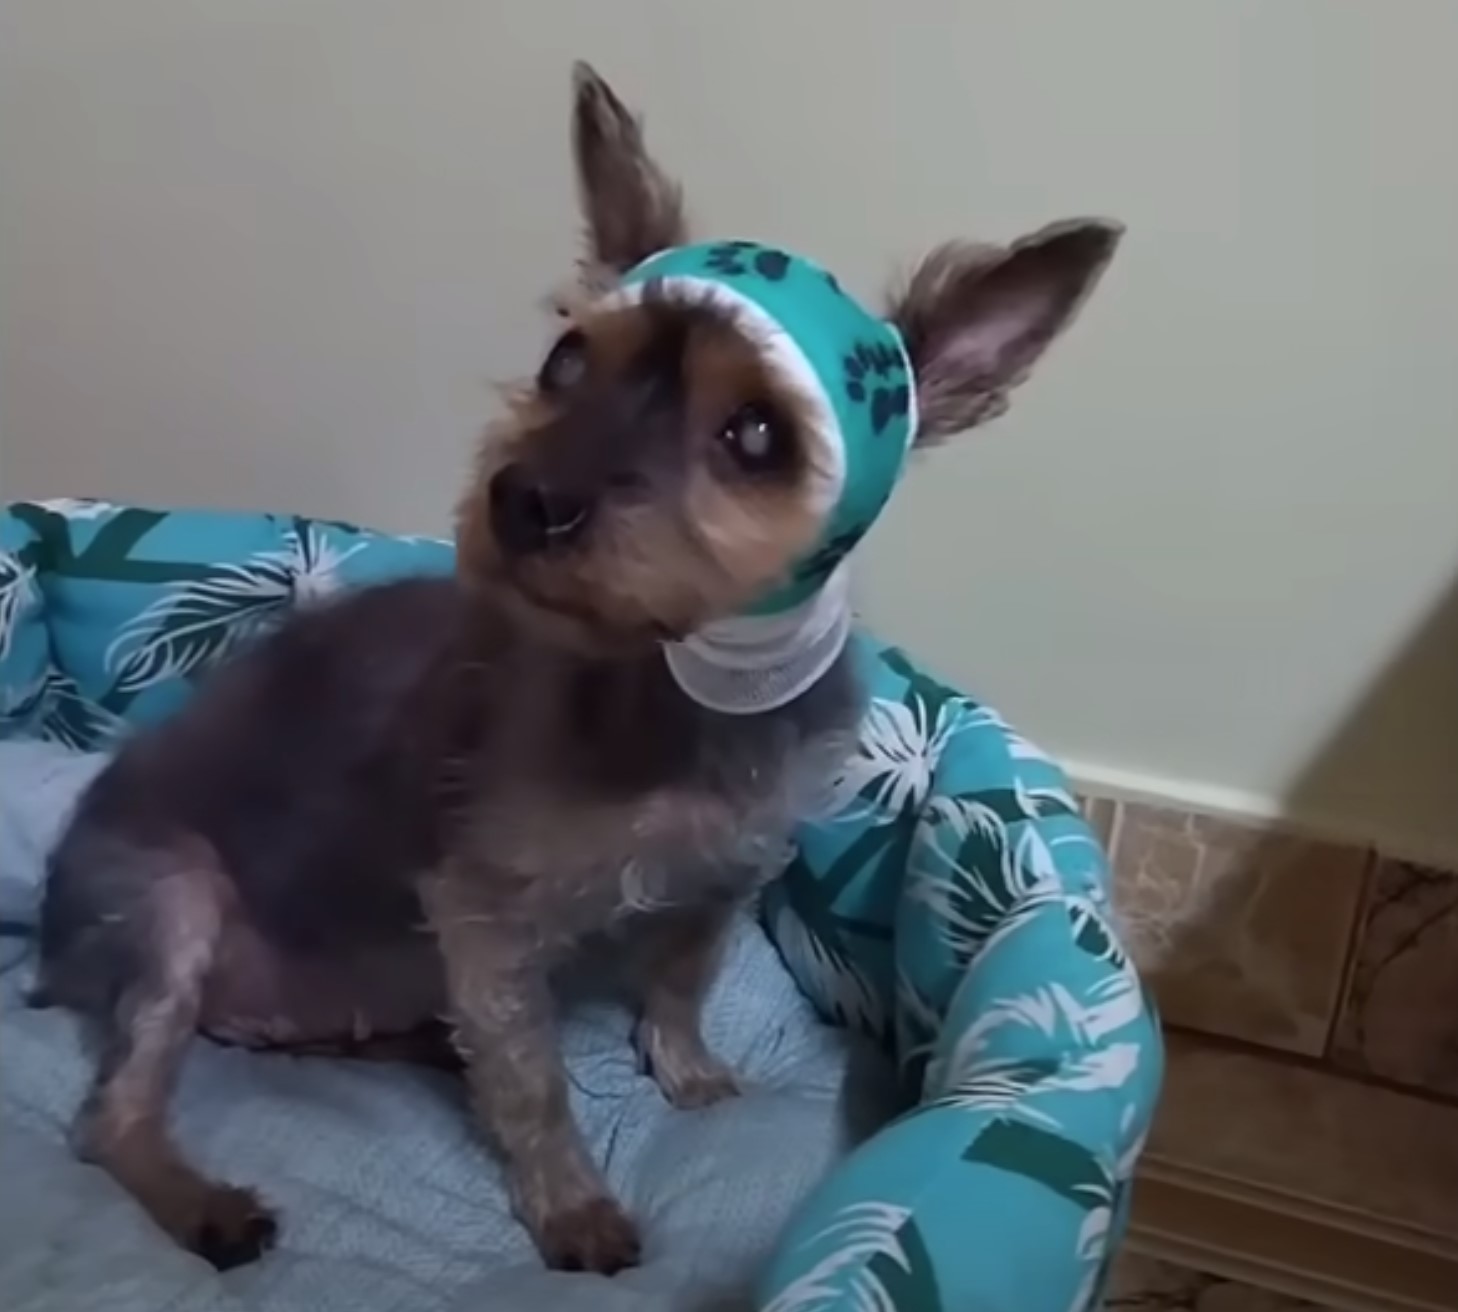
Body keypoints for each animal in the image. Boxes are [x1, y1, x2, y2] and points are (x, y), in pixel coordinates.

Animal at [36, 61, 1125, 1271]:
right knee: (112, 1115)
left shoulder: (730, 869)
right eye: (566, 361)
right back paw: (204, 1200)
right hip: (166, 903)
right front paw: (572, 1204)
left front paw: (686, 1068)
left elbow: (683, 977)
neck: (669, 684)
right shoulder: (484, 913)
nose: (525, 497)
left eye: (757, 433)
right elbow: (534, 1076)